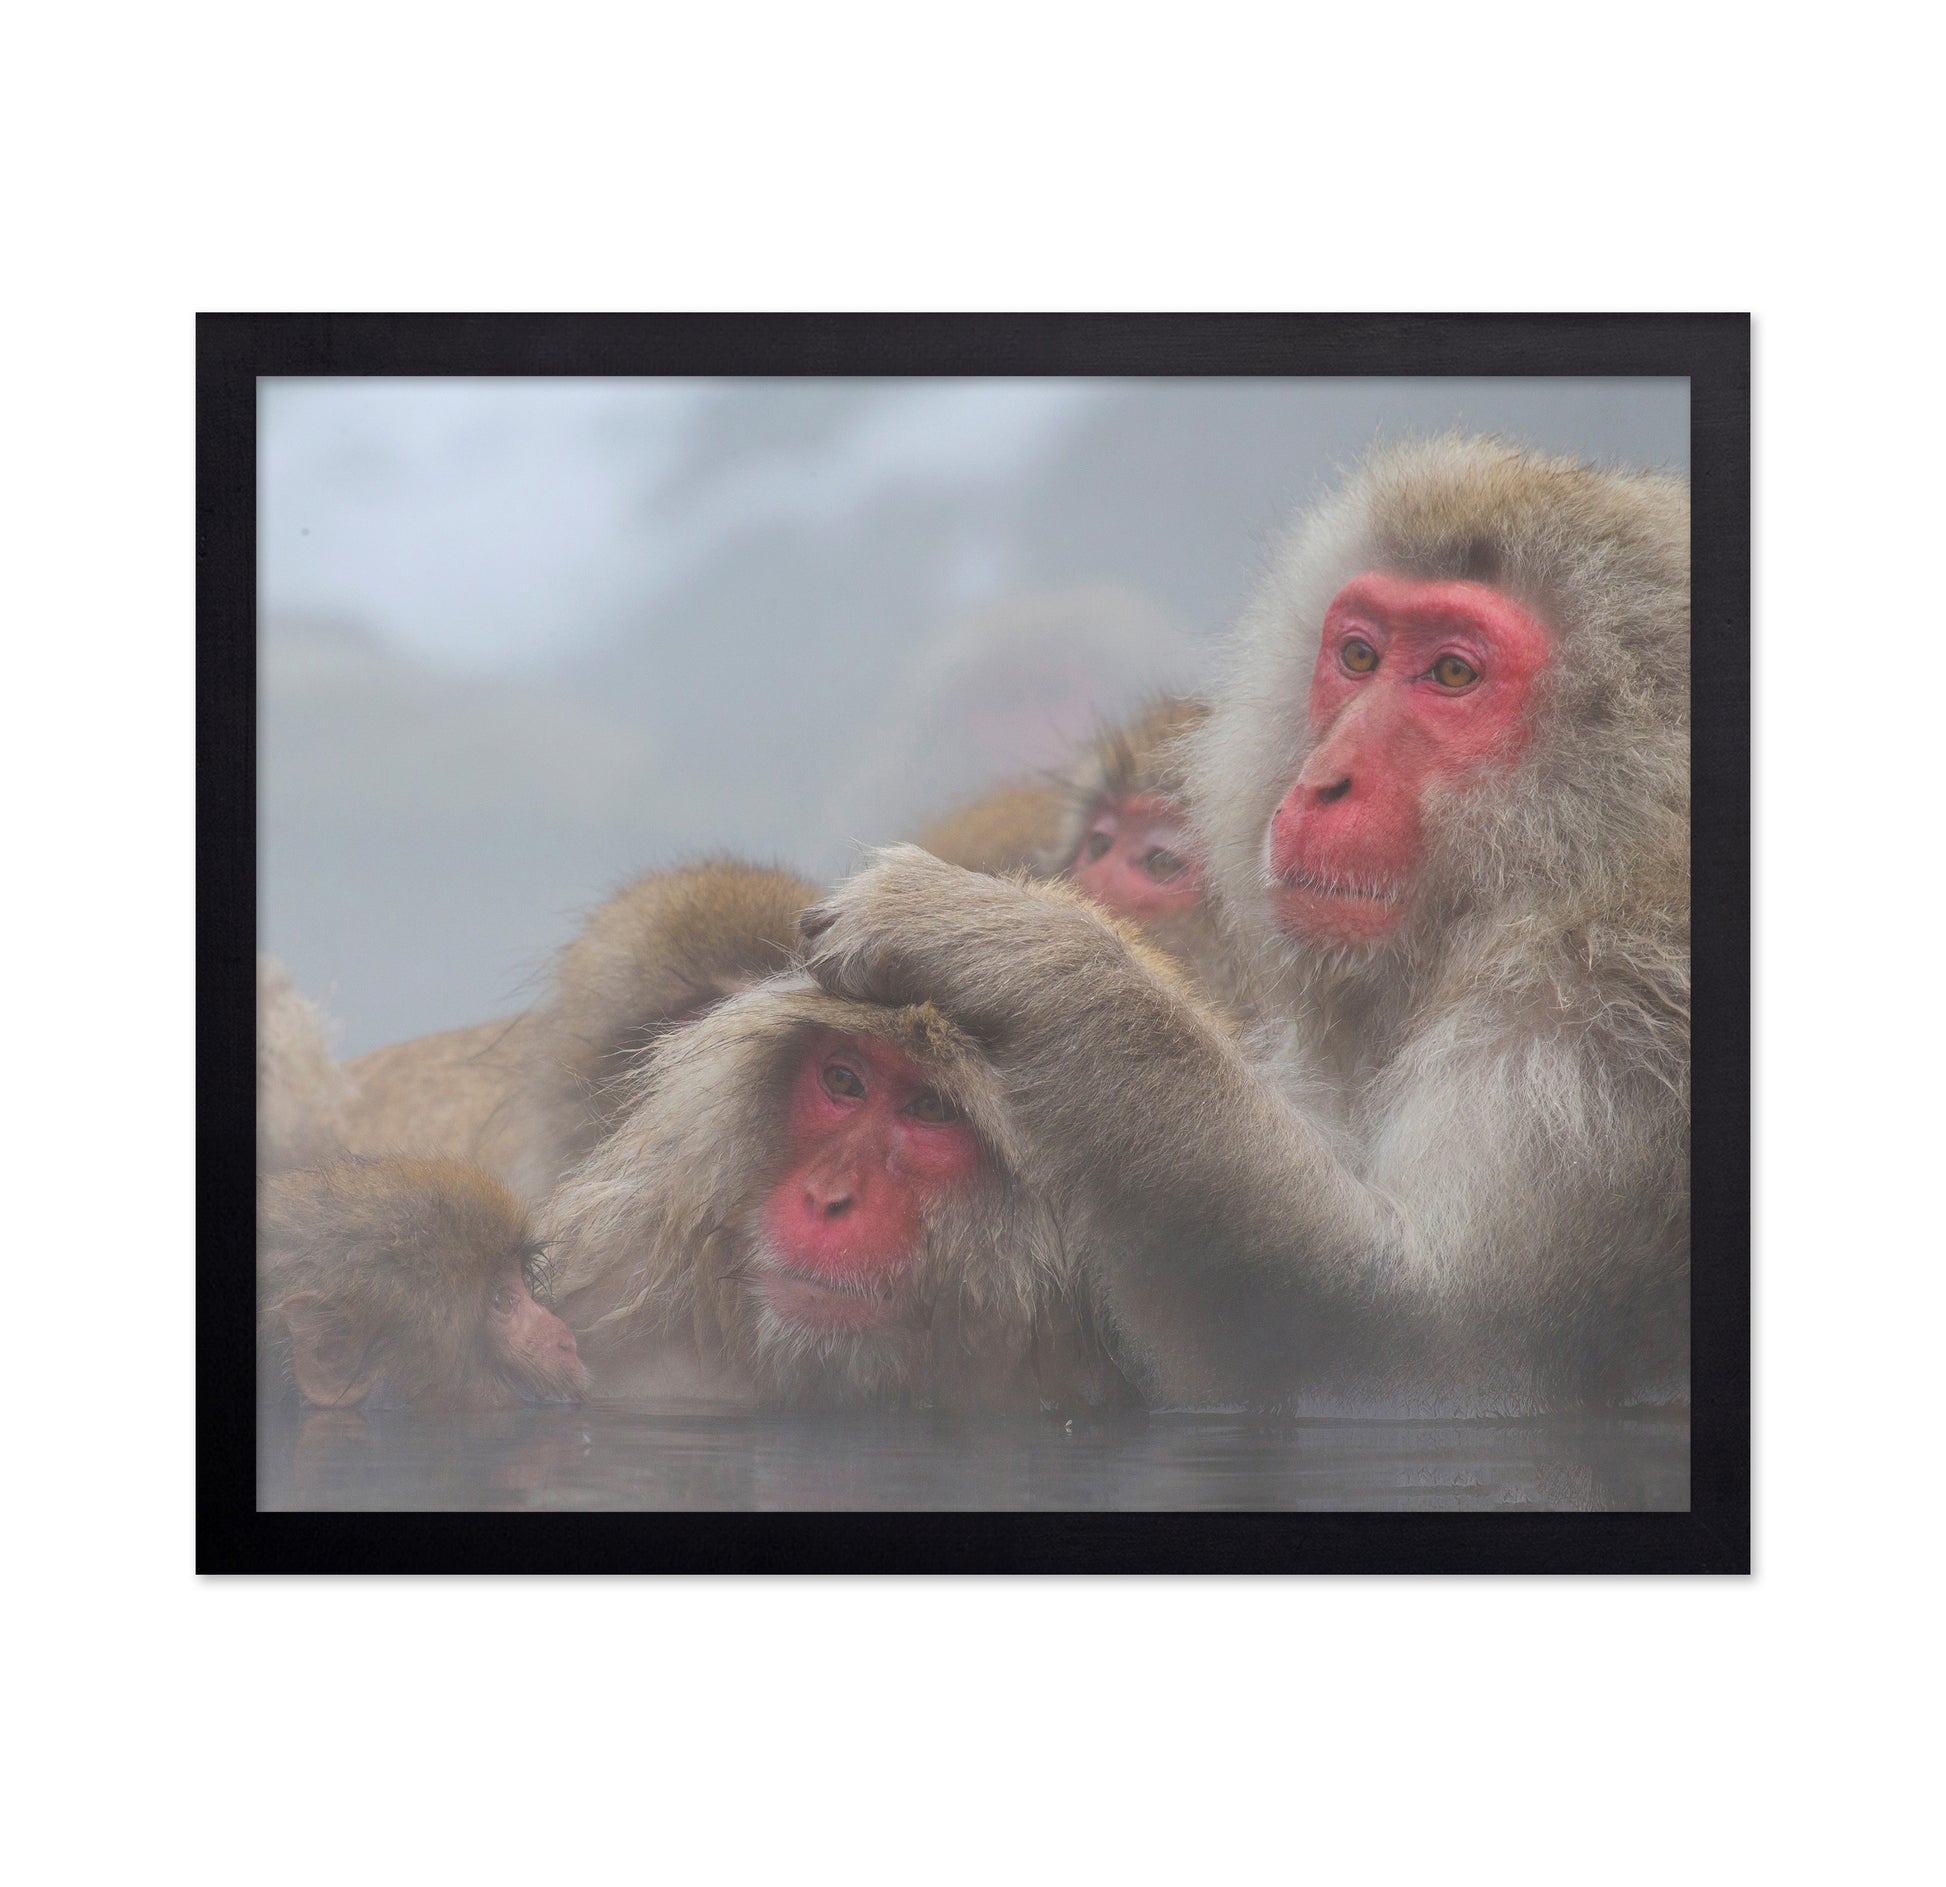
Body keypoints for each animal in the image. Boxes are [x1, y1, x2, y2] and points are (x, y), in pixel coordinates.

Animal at [796, 436, 1690, 1415]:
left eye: (1454, 675)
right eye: (1357, 654)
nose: (1324, 780)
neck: (1589, 856)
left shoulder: (1604, 1024)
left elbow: (1434, 1360)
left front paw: (1028, 954)